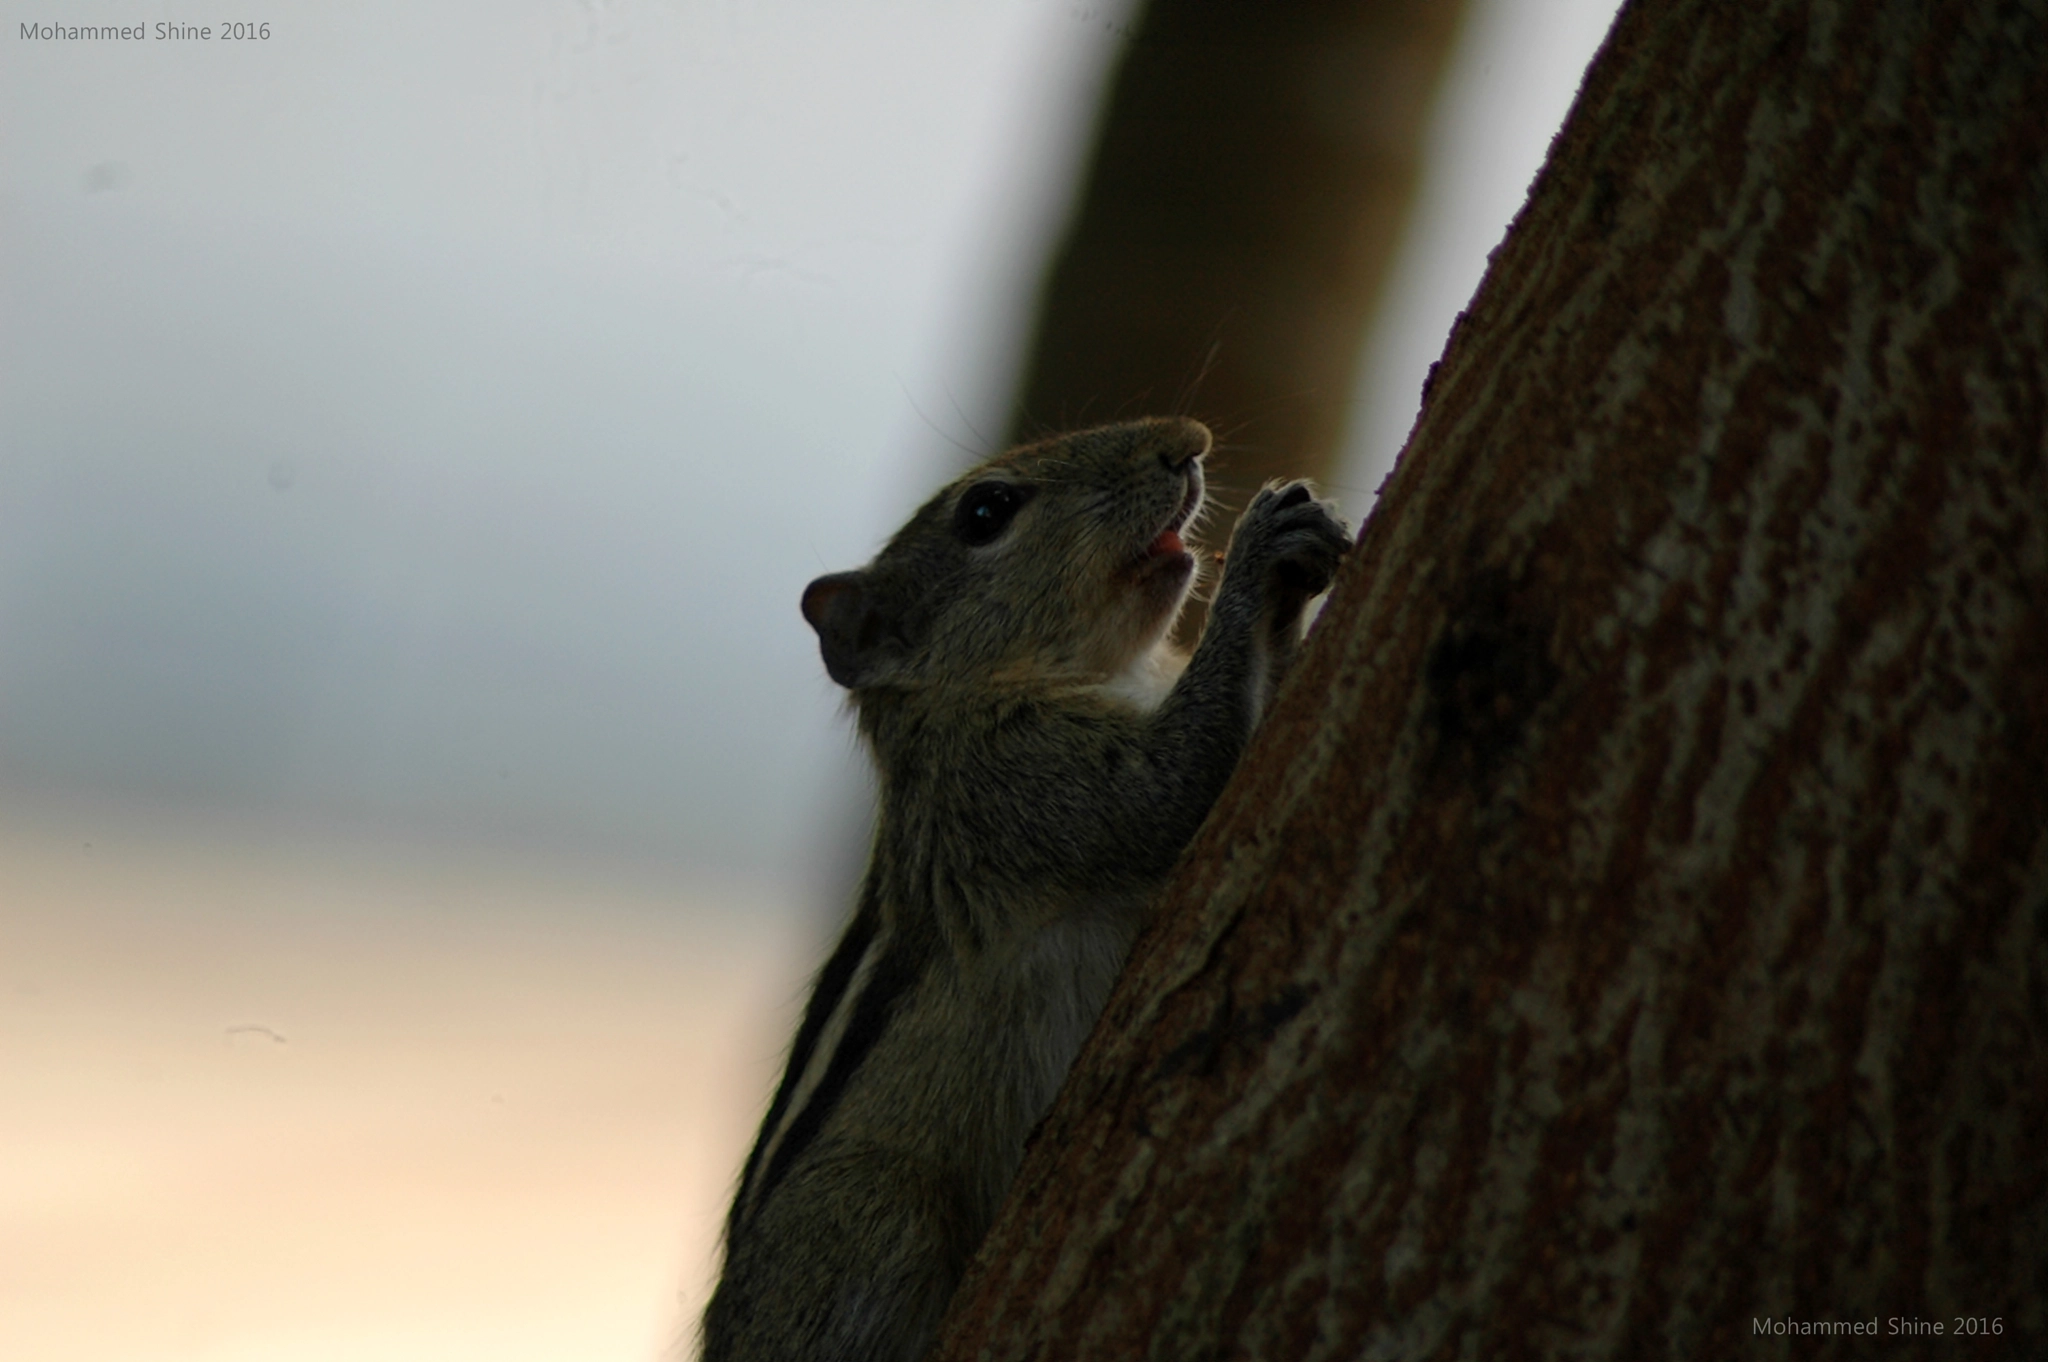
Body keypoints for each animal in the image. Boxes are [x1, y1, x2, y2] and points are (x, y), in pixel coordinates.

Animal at [700, 416, 1350, 1362]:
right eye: (985, 512)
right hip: (874, 1213)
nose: (1187, 440)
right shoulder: (1009, 780)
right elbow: (1169, 782)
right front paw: (1261, 555)